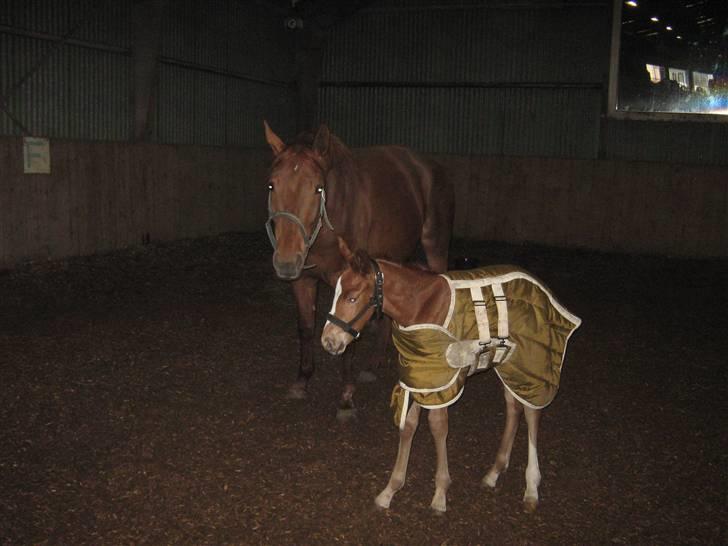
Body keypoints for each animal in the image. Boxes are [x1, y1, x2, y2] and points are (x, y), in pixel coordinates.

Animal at [264, 120, 452, 416]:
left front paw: (346, 396)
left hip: (436, 245)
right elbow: (306, 328)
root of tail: (429, 165)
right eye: (272, 185)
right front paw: (302, 380)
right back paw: (374, 363)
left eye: (318, 188)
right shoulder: (302, 279)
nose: (285, 261)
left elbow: (349, 332)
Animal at [322, 238, 584, 510]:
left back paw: (531, 487)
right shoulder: (422, 376)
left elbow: (438, 426)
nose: (329, 341)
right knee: (514, 406)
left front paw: (440, 493)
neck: (421, 307)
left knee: (532, 412)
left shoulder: (443, 379)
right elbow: (409, 425)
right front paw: (390, 490)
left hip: (532, 361)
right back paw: (494, 472)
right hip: (507, 365)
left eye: (352, 298)